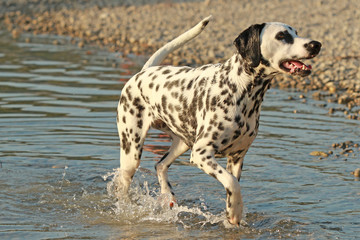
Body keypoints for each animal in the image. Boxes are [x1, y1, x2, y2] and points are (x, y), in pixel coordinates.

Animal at [116, 15, 320, 226]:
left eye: (296, 33)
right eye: (281, 36)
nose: (316, 44)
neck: (240, 89)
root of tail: (143, 72)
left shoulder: (237, 158)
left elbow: (232, 187)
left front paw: (232, 214)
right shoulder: (202, 154)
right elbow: (232, 183)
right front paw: (236, 210)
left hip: (182, 143)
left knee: (160, 165)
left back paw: (167, 195)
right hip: (132, 152)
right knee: (124, 183)